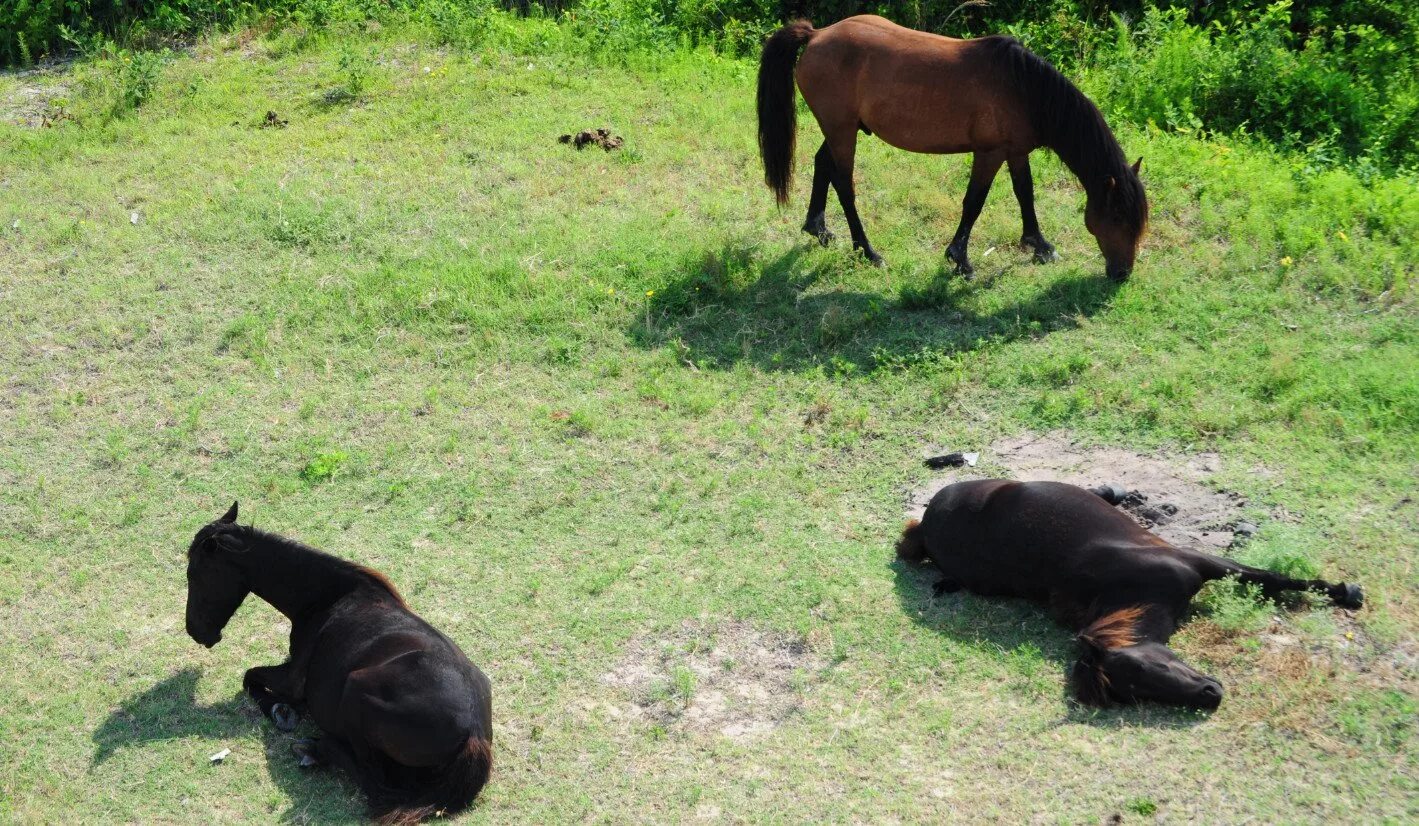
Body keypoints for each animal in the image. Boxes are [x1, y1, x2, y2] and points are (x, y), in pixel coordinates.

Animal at [184, 505, 493, 823]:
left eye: (194, 575)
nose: (195, 631)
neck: (327, 598)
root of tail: (474, 735)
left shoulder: (291, 680)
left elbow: (250, 678)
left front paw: (281, 712)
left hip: (356, 691)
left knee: (376, 783)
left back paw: (315, 748)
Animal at [760, 15, 1146, 281]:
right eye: (1117, 218)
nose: (1122, 273)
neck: (1022, 87)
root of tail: (816, 35)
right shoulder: (989, 153)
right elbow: (974, 202)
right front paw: (960, 260)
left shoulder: (1016, 151)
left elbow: (1026, 194)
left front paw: (1039, 245)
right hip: (843, 132)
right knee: (844, 184)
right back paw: (867, 251)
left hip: (843, 129)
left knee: (822, 164)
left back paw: (819, 229)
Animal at [896, 479, 1362, 712]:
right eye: (1135, 692)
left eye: (1146, 668)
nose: (1210, 696)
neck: (1134, 589)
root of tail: (927, 521)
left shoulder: (1203, 562)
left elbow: (1273, 579)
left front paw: (1346, 592)